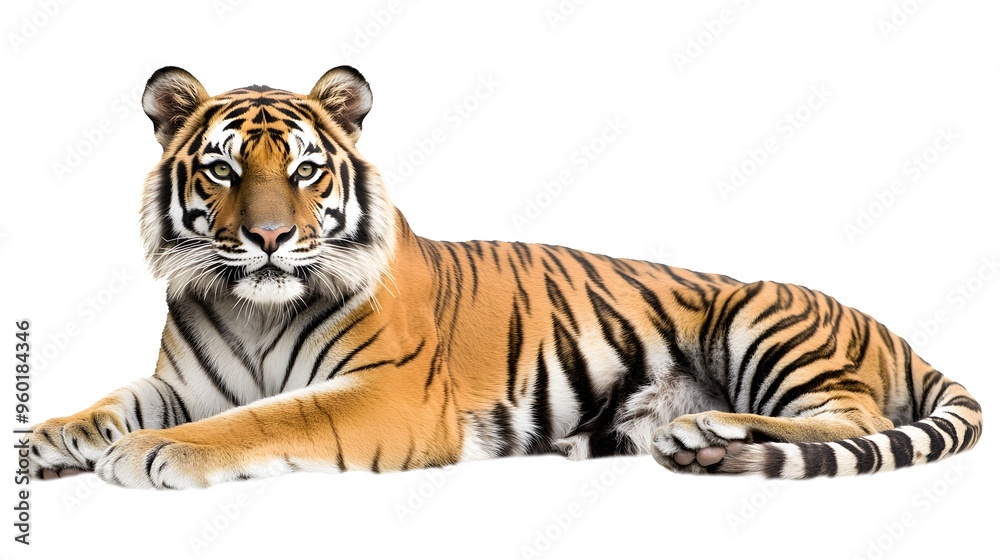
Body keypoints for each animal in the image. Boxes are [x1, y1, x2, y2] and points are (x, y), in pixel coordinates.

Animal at [27, 66, 982, 488]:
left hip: (759, 320)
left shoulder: (389, 395)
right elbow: (109, 403)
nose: (267, 238)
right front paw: (47, 440)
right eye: (223, 171)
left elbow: (267, 418)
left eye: (304, 171)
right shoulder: (184, 382)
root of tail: (889, 329)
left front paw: (150, 454)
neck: (254, 307)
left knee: (853, 418)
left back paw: (707, 429)